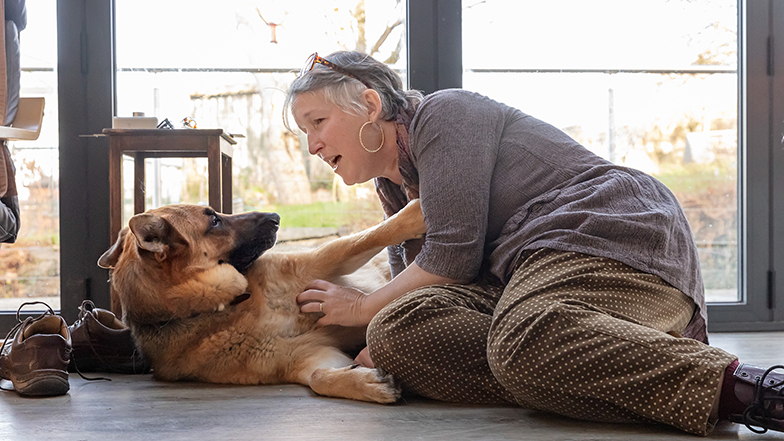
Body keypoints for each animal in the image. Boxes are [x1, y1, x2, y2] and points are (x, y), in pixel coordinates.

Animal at [99, 199, 428, 402]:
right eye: (215, 221)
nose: (276, 217)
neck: (229, 306)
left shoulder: (321, 262)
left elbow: (363, 237)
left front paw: (416, 212)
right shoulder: (306, 357)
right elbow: (319, 377)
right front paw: (365, 383)